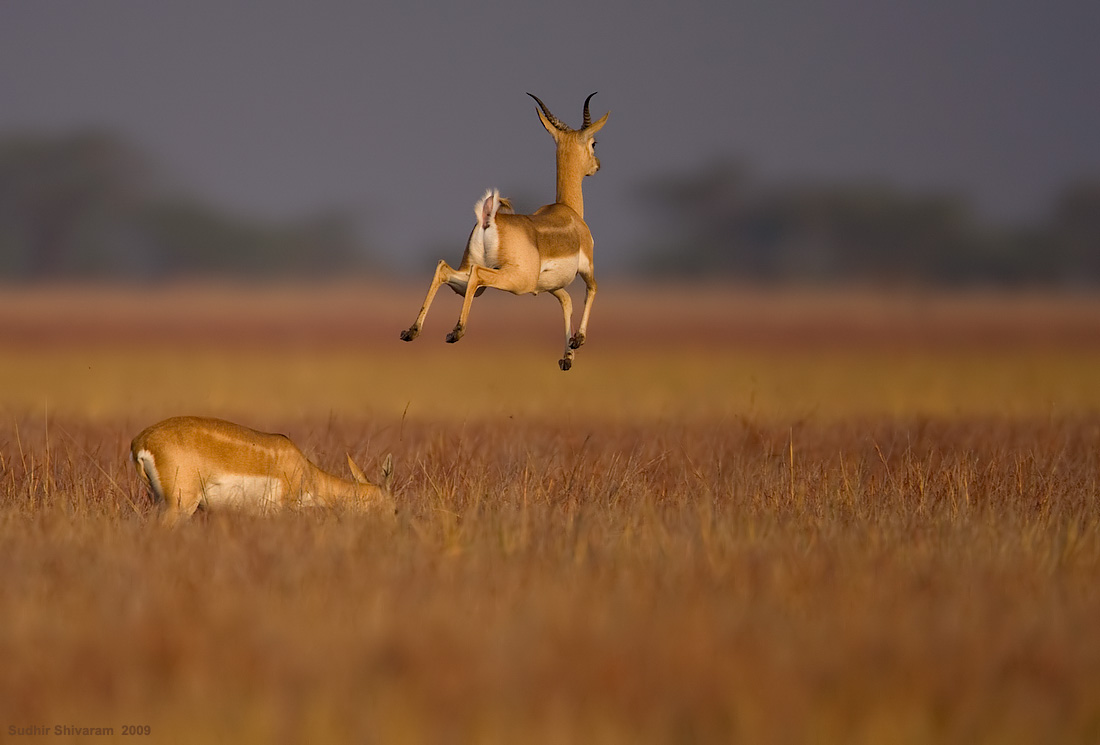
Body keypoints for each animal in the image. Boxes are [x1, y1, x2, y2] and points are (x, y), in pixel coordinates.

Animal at [400, 92, 611, 369]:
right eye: (594, 143)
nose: (597, 165)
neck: (569, 212)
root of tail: (489, 218)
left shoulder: (552, 287)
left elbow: (567, 302)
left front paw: (567, 357)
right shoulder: (586, 270)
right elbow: (592, 290)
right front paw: (578, 340)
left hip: (471, 276)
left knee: (444, 269)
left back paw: (412, 331)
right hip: (514, 280)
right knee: (478, 274)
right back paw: (456, 331)